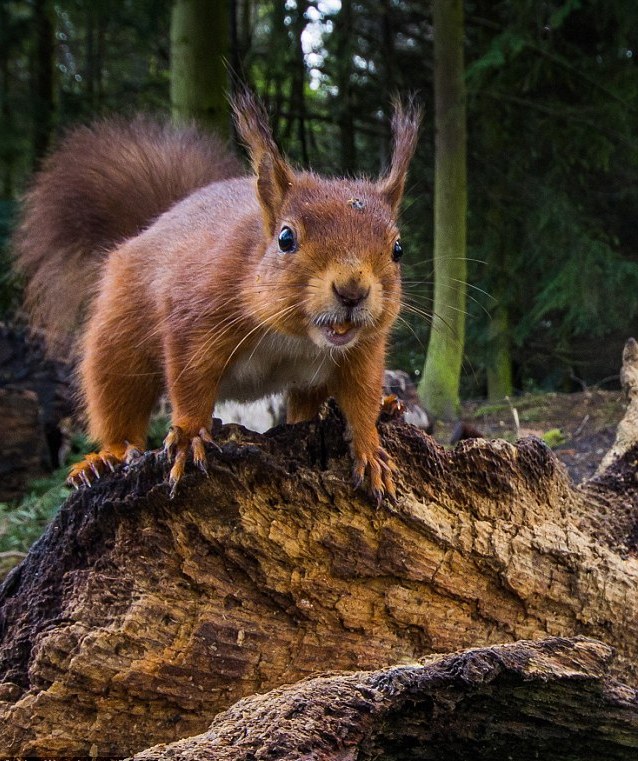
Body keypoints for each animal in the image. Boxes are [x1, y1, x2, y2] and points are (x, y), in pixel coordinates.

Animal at [15, 92, 422, 502]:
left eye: (398, 249)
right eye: (286, 238)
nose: (352, 291)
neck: (294, 336)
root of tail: (155, 223)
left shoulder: (362, 348)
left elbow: (361, 396)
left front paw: (370, 448)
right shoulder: (195, 314)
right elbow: (190, 381)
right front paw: (189, 436)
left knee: (305, 410)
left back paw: (386, 405)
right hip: (118, 334)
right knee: (117, 399)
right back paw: (105, 457)